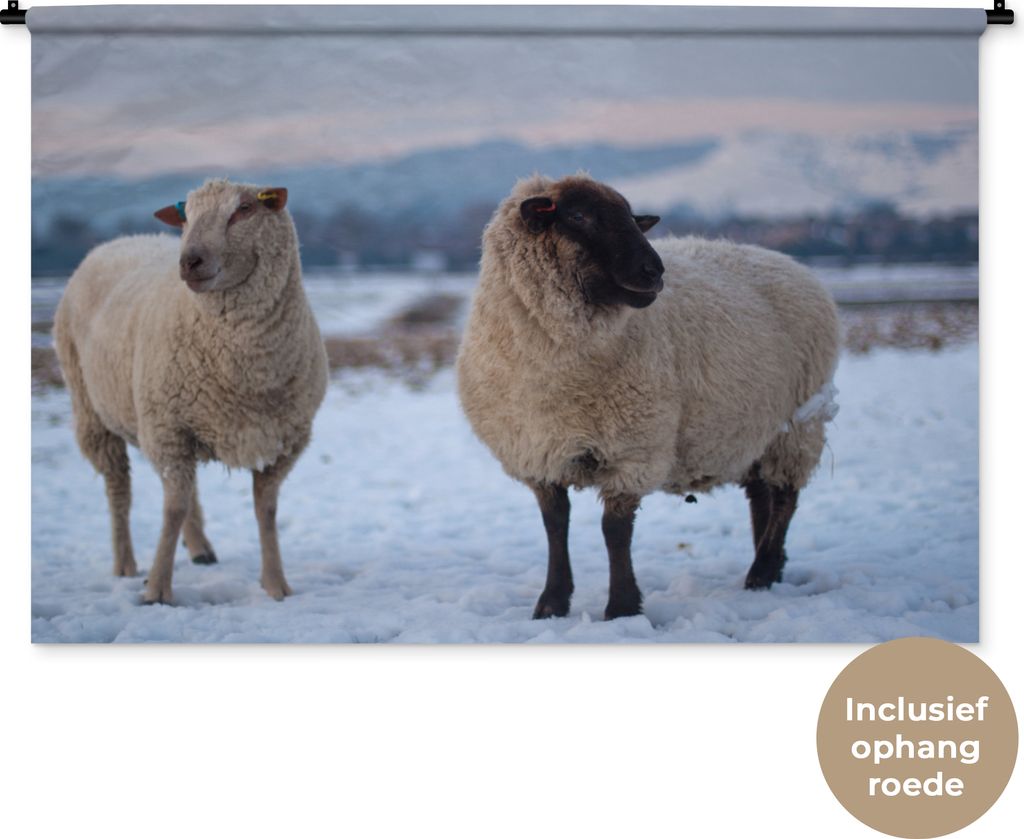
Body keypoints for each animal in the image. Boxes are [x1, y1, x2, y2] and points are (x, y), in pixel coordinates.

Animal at [53, 179, 328, 604]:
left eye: (244, 210)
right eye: (186, 216)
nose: (189, 262)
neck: (244, 371)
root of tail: (121, 239)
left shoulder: (282, 440)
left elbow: (265, 511)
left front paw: (275, 585)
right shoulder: (168, 429)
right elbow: (172, 510)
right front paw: (156, 590)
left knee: (185, 489)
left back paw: (200, 549)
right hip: (92, 409)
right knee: (120, 489)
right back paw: (125, 563)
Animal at [456, 174, 840, 620]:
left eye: (632, 218)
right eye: (579, 215)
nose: (654, 271)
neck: (558, 373)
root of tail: (790, 262)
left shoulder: (632, 449)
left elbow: (615, 532)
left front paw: (622, 607)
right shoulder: (539, 453)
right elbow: (555, 525)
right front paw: (552, 603)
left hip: (798, 423)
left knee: (784, 498)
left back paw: (761, 571)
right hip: (755, 427)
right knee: (761, 495)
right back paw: (768, 568)